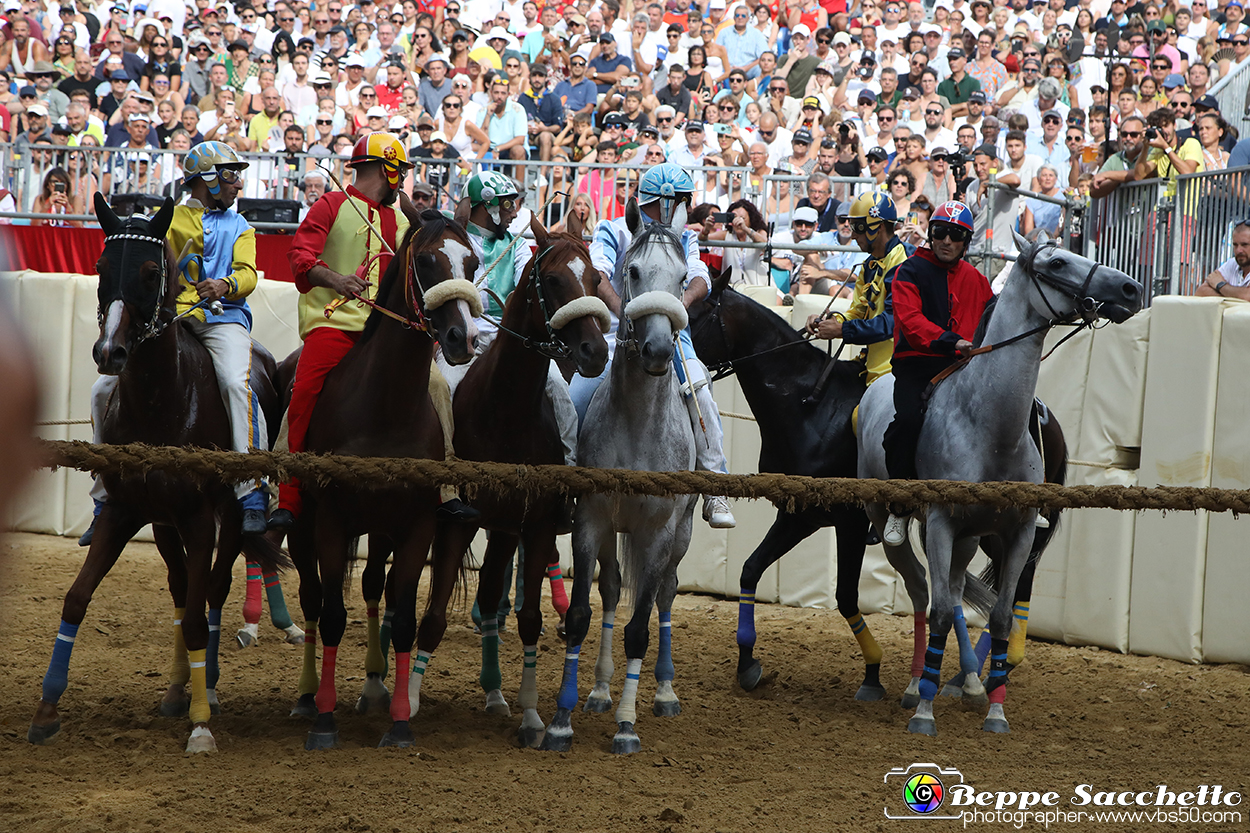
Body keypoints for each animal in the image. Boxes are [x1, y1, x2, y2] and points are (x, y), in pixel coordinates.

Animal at [29, 195, 287, 750]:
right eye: (100, 267)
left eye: (150, 272)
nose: (110, 352)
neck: (161, 399)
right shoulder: (127, 512)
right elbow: (76, 600)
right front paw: (46, 709)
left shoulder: (198, 519)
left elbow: (196, 615)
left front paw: (201, 724)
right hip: (164, 525)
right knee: (178, 587)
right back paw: (176, 689)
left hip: (226, 519)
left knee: (211, 591)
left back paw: (208, 687)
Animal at [286, 206, 485, 745]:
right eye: (428, 261)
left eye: (473, 263)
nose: (463, 339)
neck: (385, 409)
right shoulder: (331, 521)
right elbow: (333, 615)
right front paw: (325, 720)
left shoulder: (417, 525)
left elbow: (407, 617)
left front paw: (398, 721)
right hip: (304, 524)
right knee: (311, 600)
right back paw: (308, 696)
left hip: (381, 528)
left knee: (377, 585)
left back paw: (375, 685)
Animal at [420, 213, 610, 745]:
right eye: (554, 280)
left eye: (595, 279)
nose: (594, 350)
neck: (503, 410)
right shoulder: (458, 521)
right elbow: (433, 617)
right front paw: (405, 703)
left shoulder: (536, 524)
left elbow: (527, 618)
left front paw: (531, 718)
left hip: (506, 529)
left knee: (490, 599)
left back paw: (495, 695)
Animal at [542, 197, 705, 750]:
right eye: (633, 271)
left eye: (682, 278)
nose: (656, 350)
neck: (637, 425)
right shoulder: (591, 520)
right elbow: (581, 615)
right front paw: (562, 719)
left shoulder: (657, 532)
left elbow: (640, 627)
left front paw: (628, 725)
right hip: (615, 529)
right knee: (612, 591)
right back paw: (598, 690)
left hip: (681, 533)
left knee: (667, 594)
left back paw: (664, 693)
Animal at [860, 228, 1145, 735]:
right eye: (1056, 263)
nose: (1130, 289)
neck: (990, 427)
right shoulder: (941, 523)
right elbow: (937, 613)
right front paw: (925, 713)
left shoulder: (1017, 532)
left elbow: (998, 617)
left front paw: (995, 710)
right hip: (893, 521)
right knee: (921, 591)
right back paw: (916, 685)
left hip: (968, 539)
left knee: (953, 591)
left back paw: (969, 683)